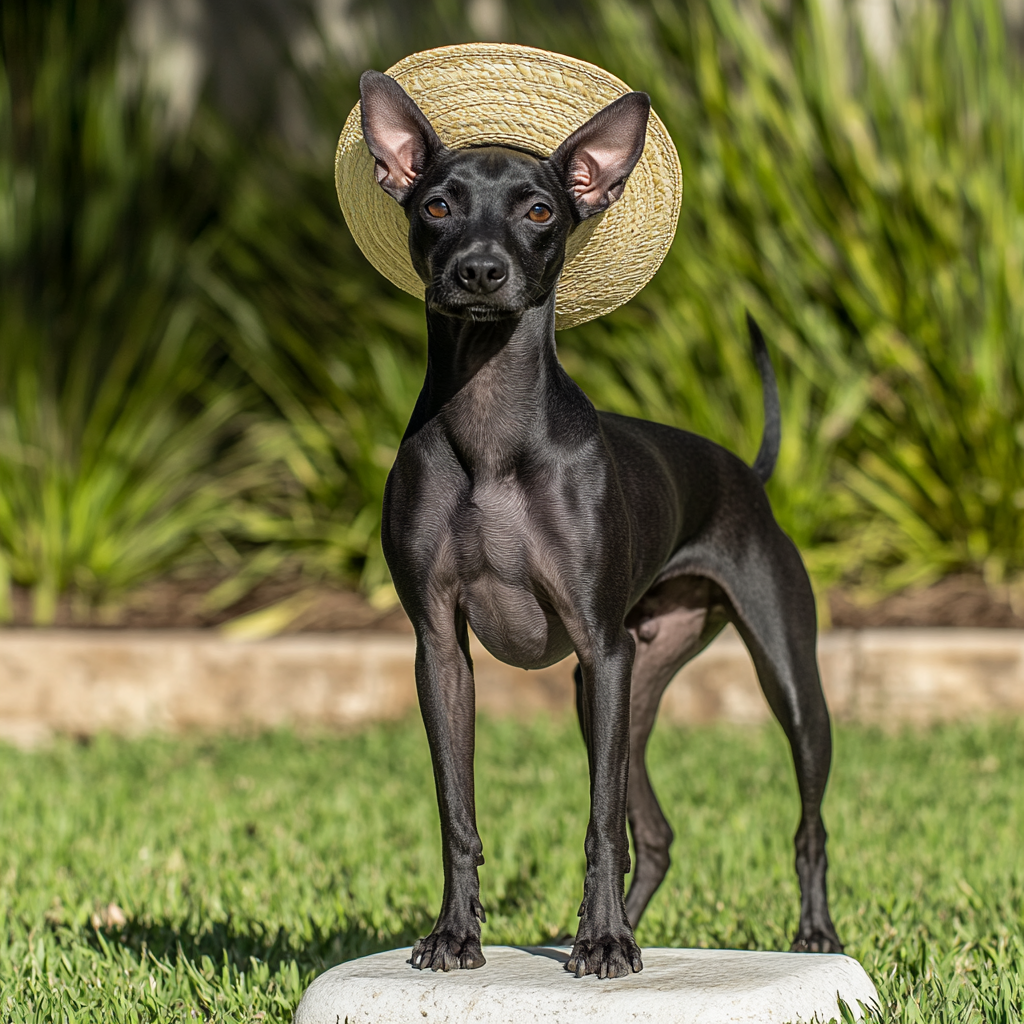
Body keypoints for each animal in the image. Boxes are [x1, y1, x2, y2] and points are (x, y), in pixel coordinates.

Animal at [356, 68, 843, 978]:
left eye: (539, 210)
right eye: (436, 204)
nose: (480, 272)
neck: (493, 431)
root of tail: (746, 473)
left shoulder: (599, 641)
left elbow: (595, 823)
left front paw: (607, 942)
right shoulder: (441, 650)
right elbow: (458, 814)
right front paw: (456, 933)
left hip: (776, 678)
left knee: (803, 824)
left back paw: (809, 934)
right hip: (622, 686)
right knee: (651, 831)